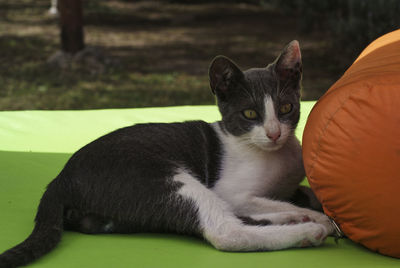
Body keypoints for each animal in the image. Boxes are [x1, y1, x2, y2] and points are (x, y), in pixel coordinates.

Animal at [0, 40, 332, 268]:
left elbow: (291, 194)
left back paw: (297, 217)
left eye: (286, 108)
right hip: (166, 179)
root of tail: (60, 179)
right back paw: (308, 228)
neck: (273, 155)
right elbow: (253, 201)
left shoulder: (286, 185)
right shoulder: (230, 190)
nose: (274, 133)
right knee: (226, 231)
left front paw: (307, 204)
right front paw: (314, 214)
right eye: (250, 113)